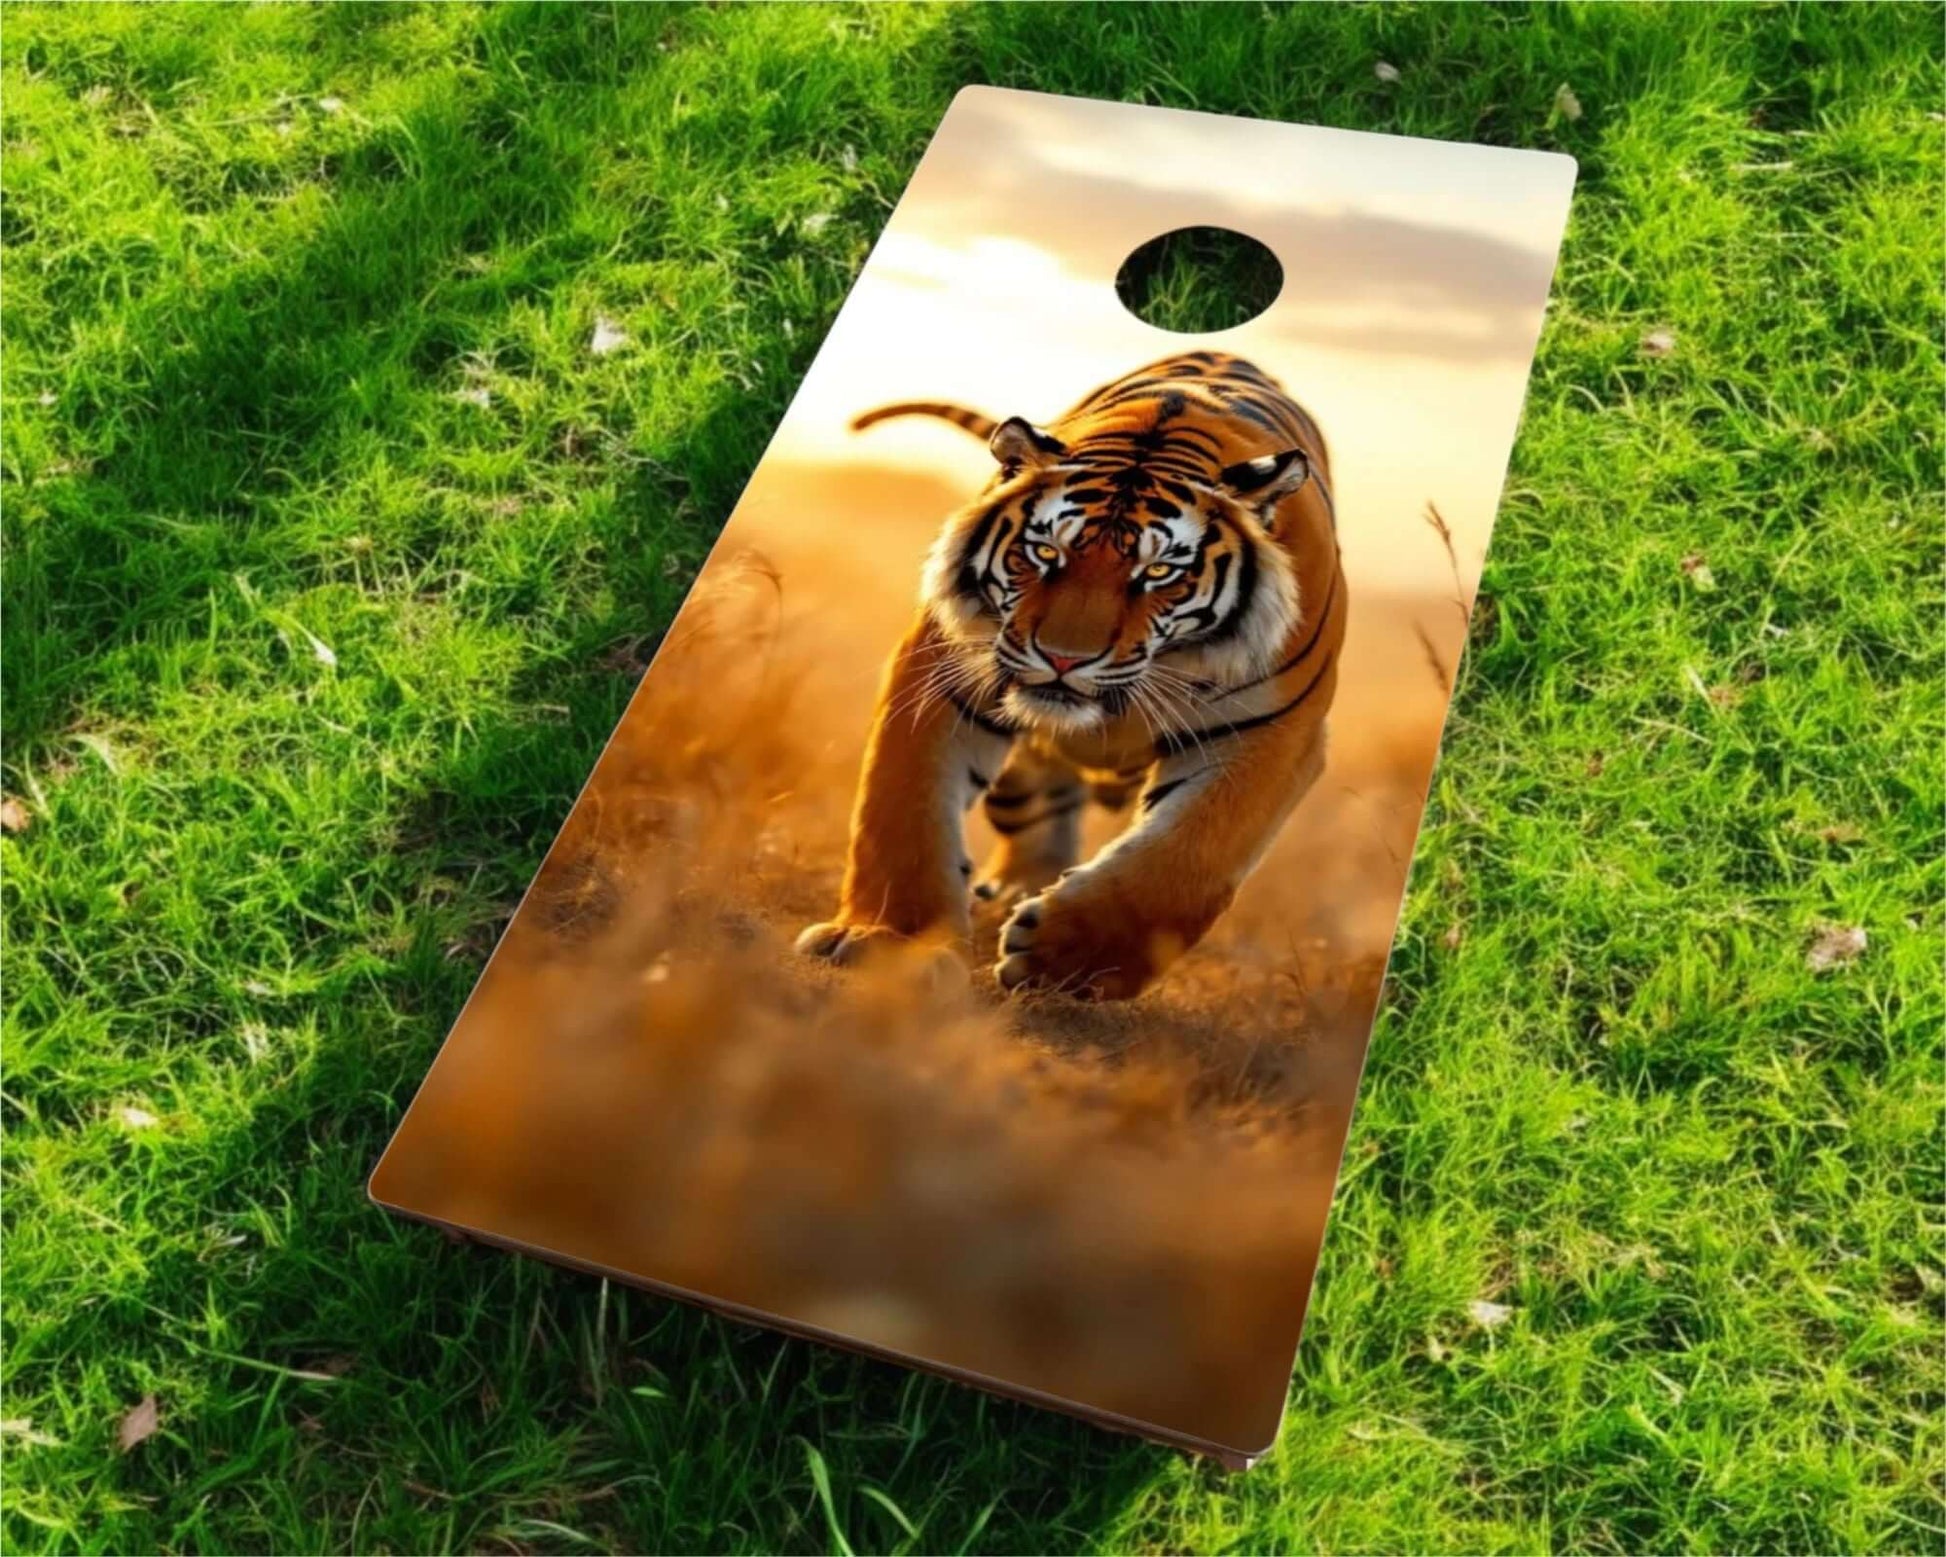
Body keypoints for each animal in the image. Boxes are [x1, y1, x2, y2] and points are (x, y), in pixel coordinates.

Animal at [796, 351, 1347, 1000]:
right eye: (1045, 554)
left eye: (1158, 572)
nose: (1063, 658)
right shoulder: (942, 673)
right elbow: (901, 812)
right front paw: (887, 944)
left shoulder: (1275, 730)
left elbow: (1186, 861)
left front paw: (1066, 962)